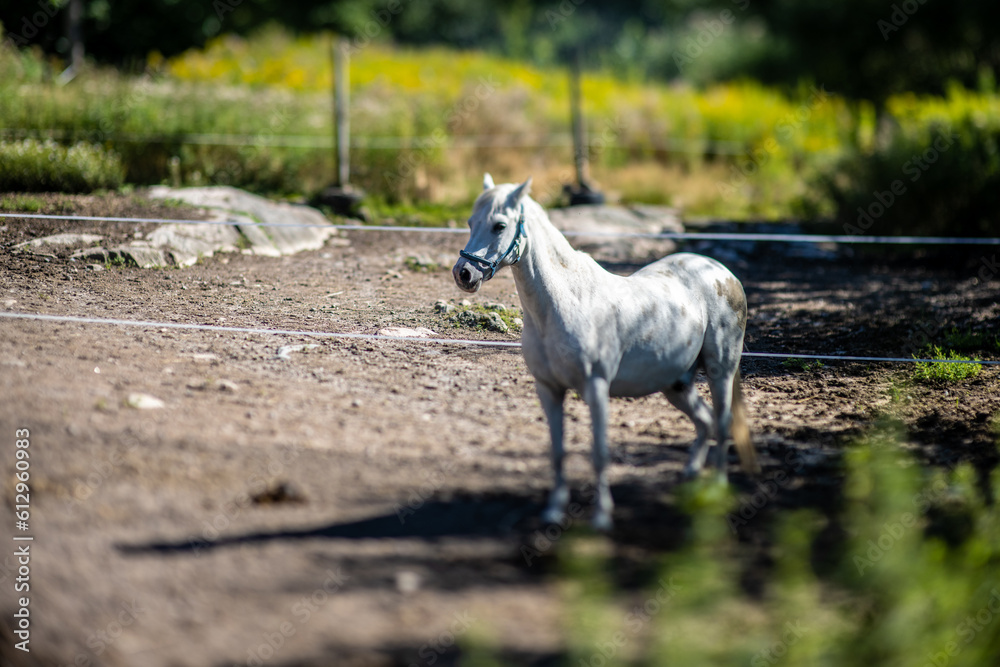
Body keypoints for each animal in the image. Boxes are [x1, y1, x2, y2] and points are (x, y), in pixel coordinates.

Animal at [452, 174, 757, 530]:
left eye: (499, 225)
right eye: (471, 222)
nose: (464, 274)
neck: (563, 304)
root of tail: (721, 271)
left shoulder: (596, 387)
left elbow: (599, 453)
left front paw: (601, 517)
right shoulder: (548, 389)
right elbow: (557, 450)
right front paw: (553, 511)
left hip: (720, 371)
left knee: (722, 423)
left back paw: (718, 488)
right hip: (676, 383)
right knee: (705, 421)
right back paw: (692, 480)